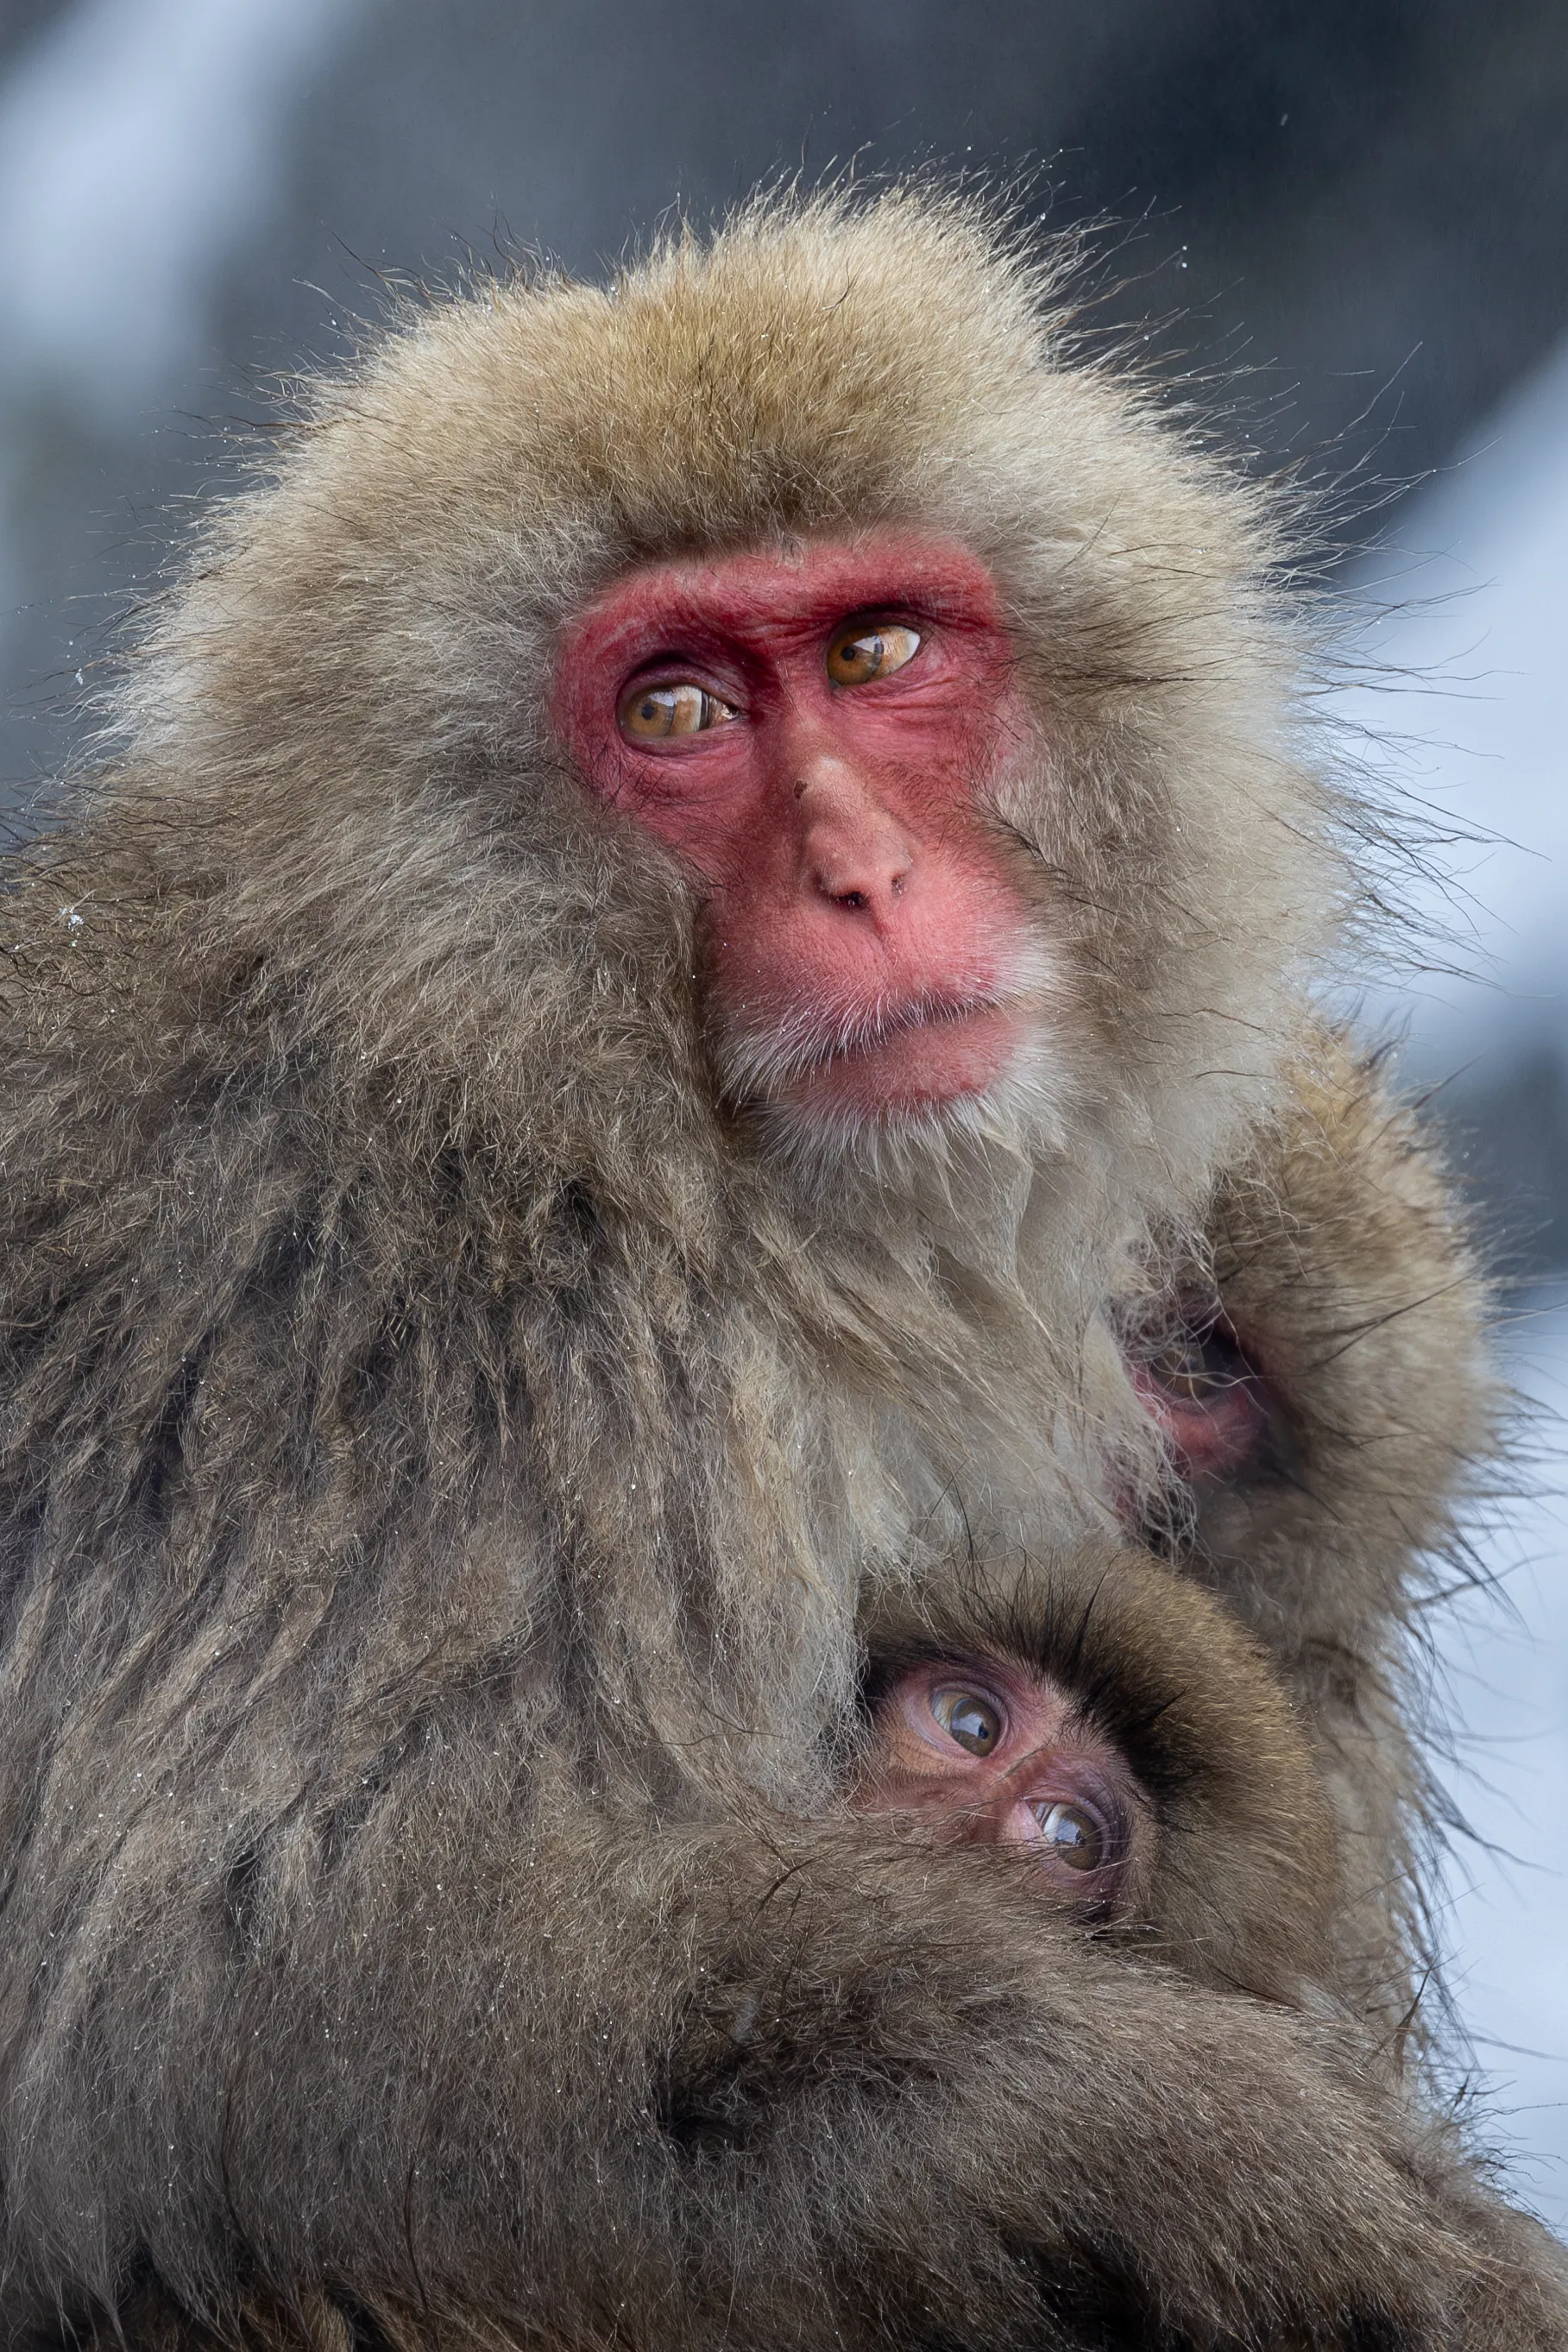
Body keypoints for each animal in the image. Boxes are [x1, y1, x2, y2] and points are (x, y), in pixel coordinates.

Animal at [0, 185, 1558, 2348]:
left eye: (877, 647)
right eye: (674, 708)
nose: (862, 876)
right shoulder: (428, 1359)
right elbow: (277, 2008)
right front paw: (1248, 2176)